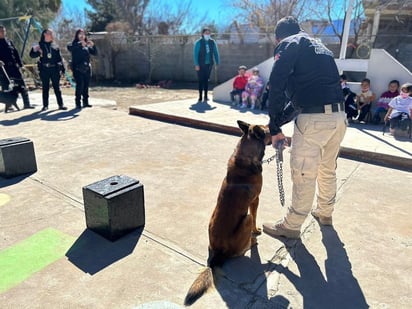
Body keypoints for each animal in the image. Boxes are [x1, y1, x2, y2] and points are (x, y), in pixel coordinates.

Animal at [183, 119, 270, 304]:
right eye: (267, 129)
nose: (276, 126)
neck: (245, 155)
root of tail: (218, 255)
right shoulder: (255, 200)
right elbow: (256, 217)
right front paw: (256, 231)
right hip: (246, 218)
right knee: (241, 249)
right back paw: (251, 242)